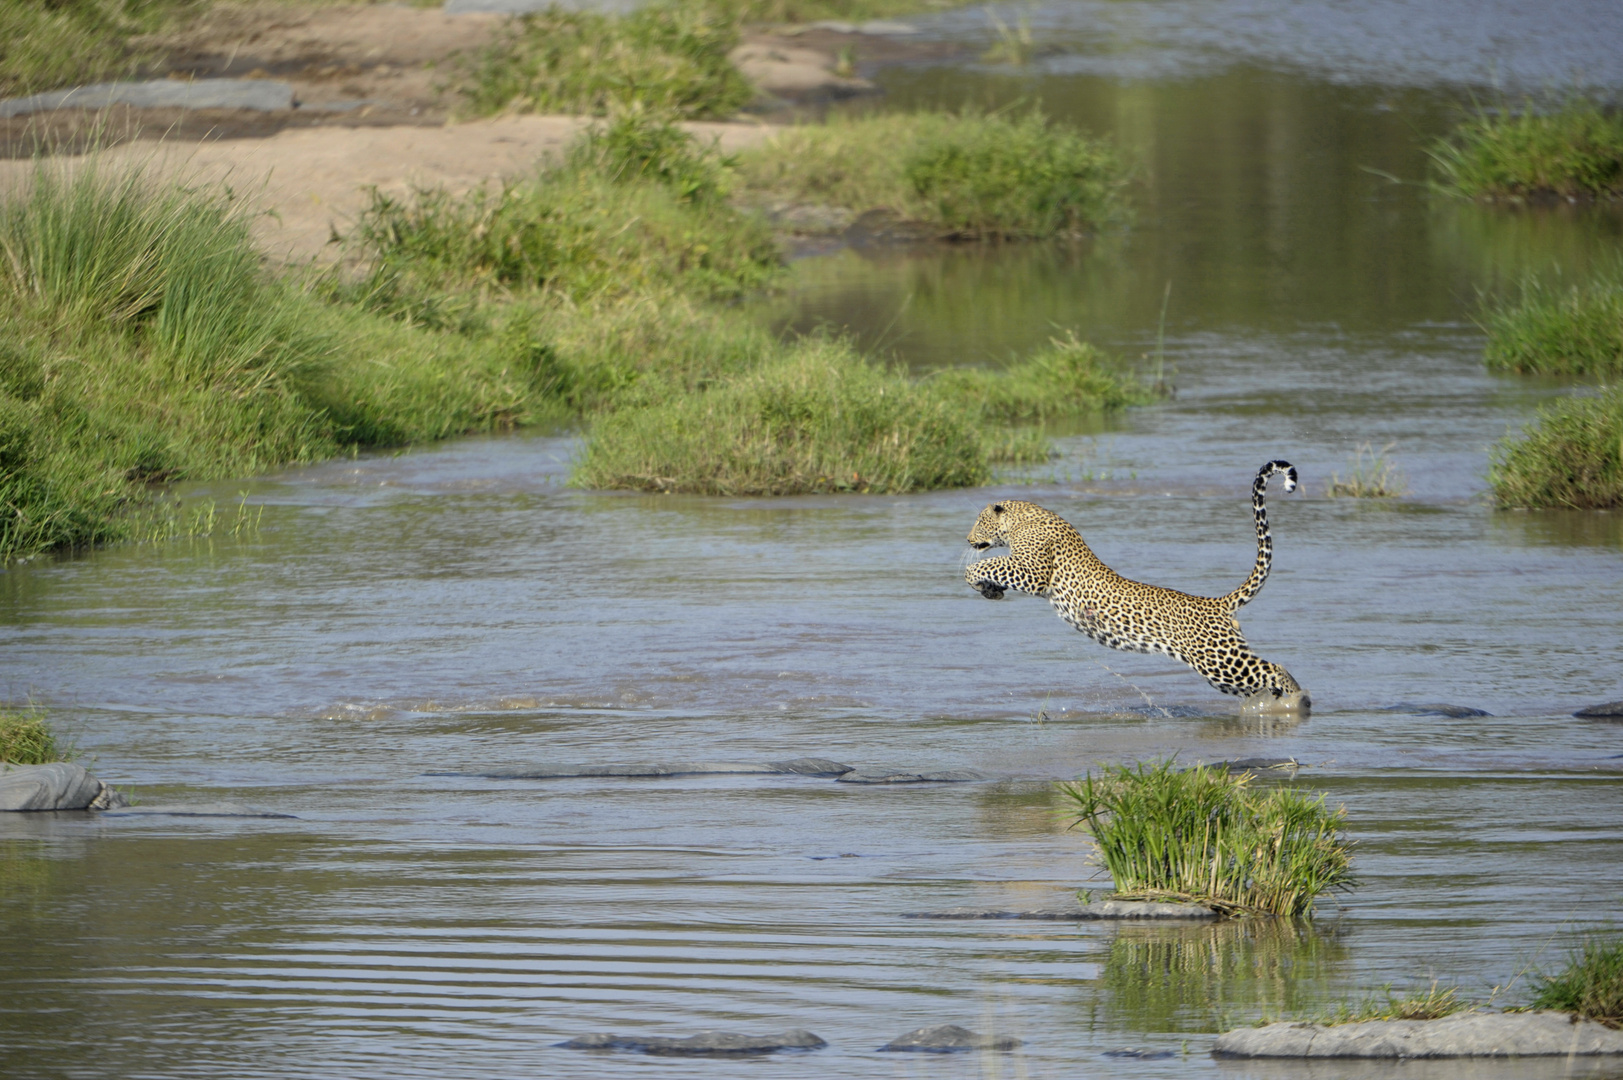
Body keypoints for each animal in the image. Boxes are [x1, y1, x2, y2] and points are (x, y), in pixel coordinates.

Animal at [960, 457, 1304, 711]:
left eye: (978, 521)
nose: (966, 538)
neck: (1023, 518)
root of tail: (1216, 603)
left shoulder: (1032, 570)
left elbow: (983, 564)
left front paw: (977, 579)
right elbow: (991, 568)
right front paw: (990, 590)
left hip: (1219, 659)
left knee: (1274, 667)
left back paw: (1300, 701)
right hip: (1222, 670)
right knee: (1262, 681)